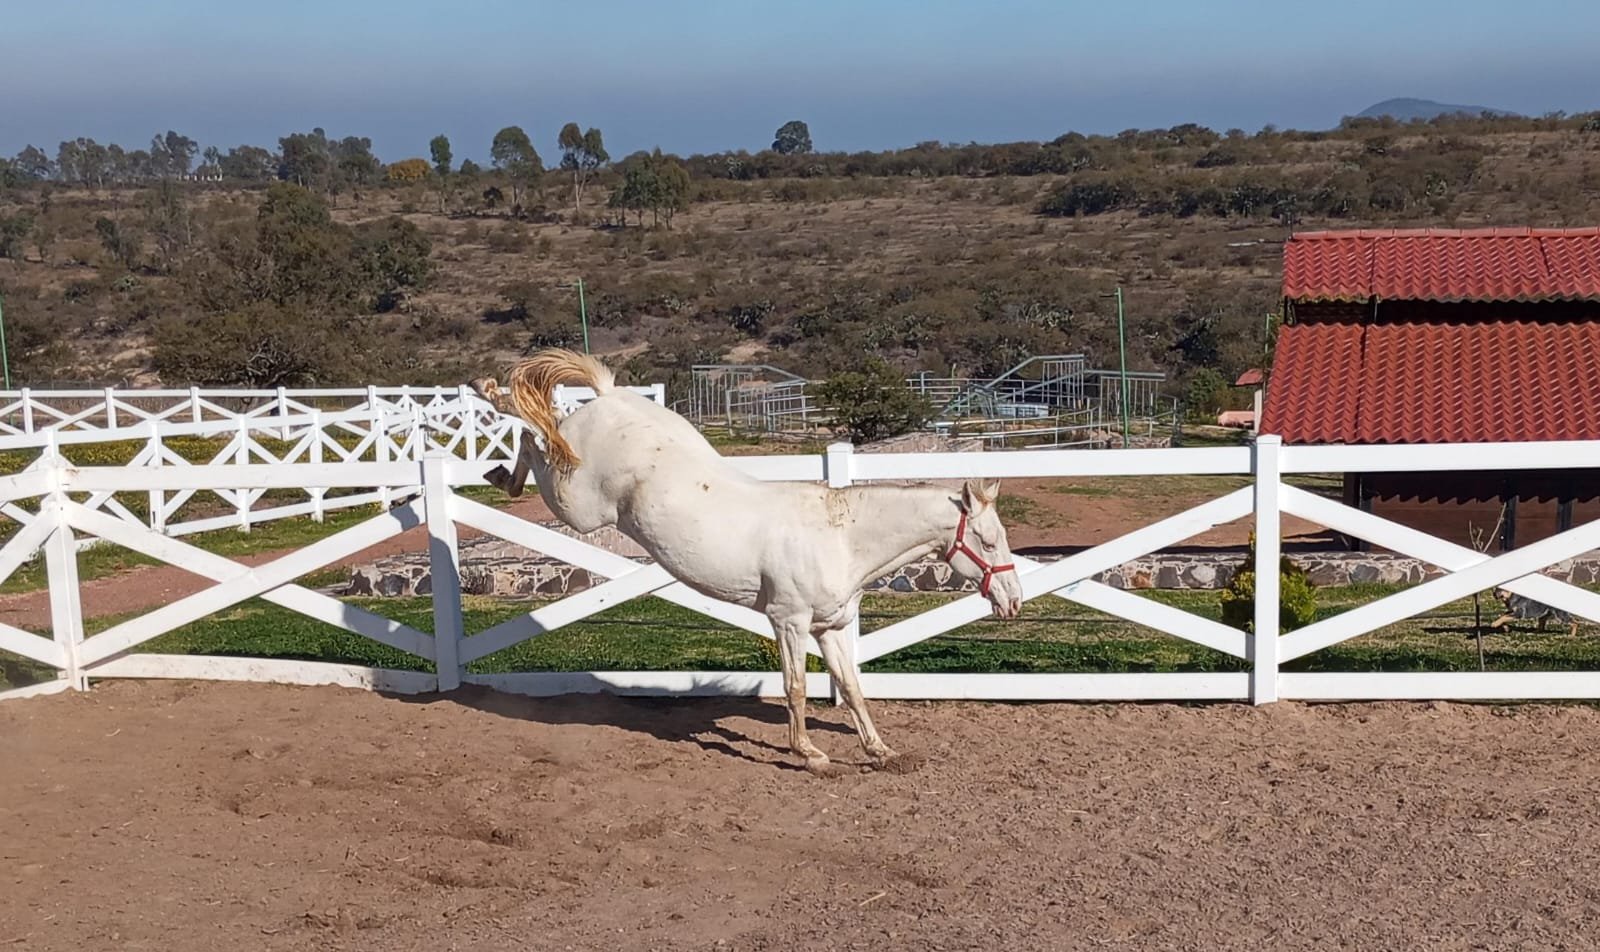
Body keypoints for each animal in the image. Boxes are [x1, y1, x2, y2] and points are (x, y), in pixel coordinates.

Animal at [469, 349, 1024, 774]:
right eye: (988, 541)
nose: (1014, 601)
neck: (840, 539)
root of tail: (607, 397)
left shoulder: (831, 627)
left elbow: (852, 687)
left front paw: (881, 751)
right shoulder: (789, 622)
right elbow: (796, 687)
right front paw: (811, 755)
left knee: (536, 435)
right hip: (579, 505)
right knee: (535, 439)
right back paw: (491, 408)